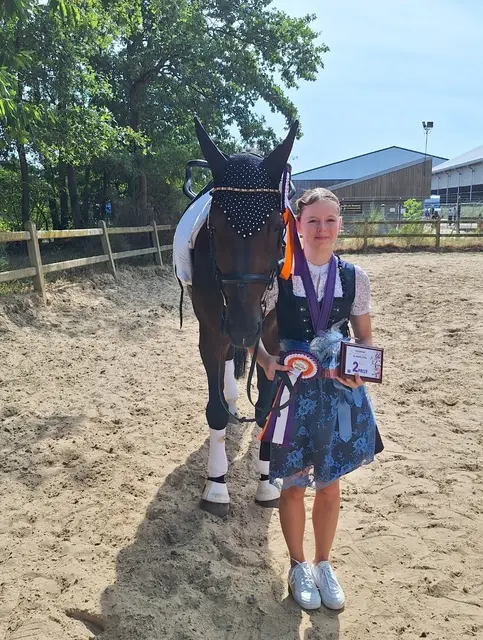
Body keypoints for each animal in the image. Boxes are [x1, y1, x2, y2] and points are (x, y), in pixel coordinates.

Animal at [184, 118, 298, 517]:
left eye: (277, 228)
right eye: (215, 228)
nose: (243, 326)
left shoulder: (272, 335)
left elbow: (266, 408)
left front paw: (266, 482)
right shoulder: (211, 332)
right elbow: (216, 411)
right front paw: (217, 486)